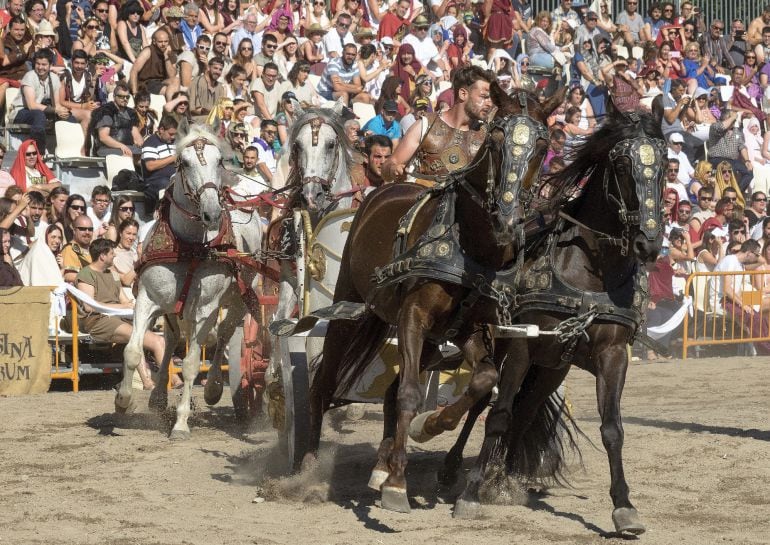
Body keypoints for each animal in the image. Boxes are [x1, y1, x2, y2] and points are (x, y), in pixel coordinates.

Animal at [115, 124, 264, 438]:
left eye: (219, 161)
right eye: (183, 162)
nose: (212, 212)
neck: (189, 247)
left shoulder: (205, 309)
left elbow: (193, 363)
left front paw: (182, 422)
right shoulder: (147, 299)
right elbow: (133, 351)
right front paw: (123, 400)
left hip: (239, 299)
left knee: (224, 336)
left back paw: (213, 389)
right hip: (173, 307)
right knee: (171, 340)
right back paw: (158, 398)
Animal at [300, 84, 564, 510]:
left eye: (542, 145)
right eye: (496, 139)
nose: (507, 219)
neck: (472, 246)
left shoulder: (472, 329)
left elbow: (483, 380)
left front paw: (430, 428)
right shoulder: (413, 316)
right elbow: (409, 393)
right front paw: (397, 483)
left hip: (424, 336)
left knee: (391, 390)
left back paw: (382, 463)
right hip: (351, 306)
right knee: (324, 383)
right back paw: (307, 468)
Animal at [450, 102, 664, 536]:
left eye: (665, 164)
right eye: (621, 164)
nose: (648, 244)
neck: (586, 275)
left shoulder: (613, 355)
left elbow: (612, 429)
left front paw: (624, 507)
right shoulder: (521, 346)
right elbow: (498, 415)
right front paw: (472, 492)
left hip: (552, 370)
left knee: (525, 411)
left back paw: (503, 475)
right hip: (505, 352)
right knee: (486, 406)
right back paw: (454, 471)